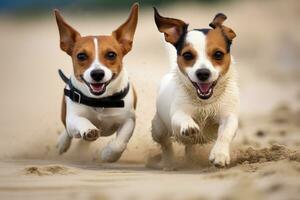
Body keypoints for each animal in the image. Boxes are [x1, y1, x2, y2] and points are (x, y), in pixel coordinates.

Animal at [55, 3, 139, 162]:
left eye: (111, 55)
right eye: (81, 56)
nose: (97, 74)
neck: (100, 101)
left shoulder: (128, 120)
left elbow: (119, 143)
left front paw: (109, 154)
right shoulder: (73, 117)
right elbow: (80, 121)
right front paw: (89, 130)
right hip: (64, 115)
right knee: (67, 132)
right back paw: (62, 143)